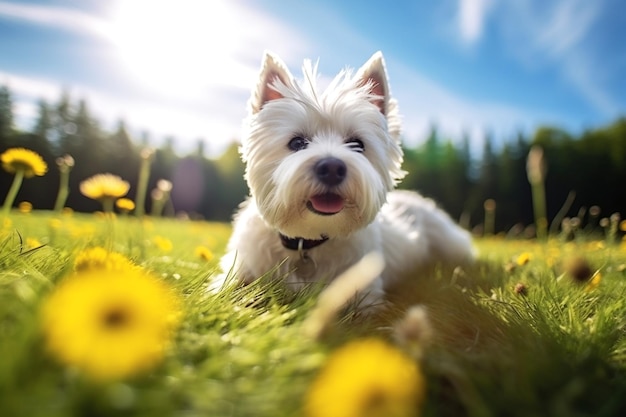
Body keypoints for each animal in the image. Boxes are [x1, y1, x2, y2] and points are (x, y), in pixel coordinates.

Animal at [214, 51, 472, 306]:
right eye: (296, 143)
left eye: (357, 144)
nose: (331, 168)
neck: (307, 244)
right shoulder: (242, 266)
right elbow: (227, 290)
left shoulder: (365, 295)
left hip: (450, 242)